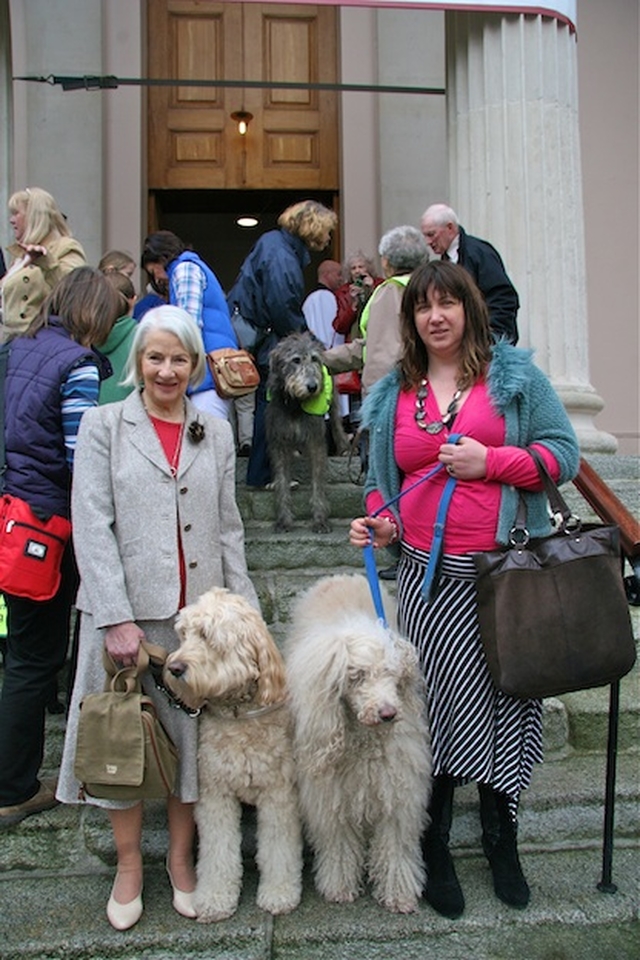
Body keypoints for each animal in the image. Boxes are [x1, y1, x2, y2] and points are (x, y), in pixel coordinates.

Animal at [165, 584, 304, 924]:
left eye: (207, 635)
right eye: (184, 634)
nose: (174, 667)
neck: (239, 713)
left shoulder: (279, 794)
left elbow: (279, 848)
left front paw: (279, 893)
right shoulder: (215, 794)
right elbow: (217, 851)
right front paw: (215, 898)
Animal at [286, 572, 432, 912]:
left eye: (392, 673)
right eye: (358, 676)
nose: (389, 713)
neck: (365, 739)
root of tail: (341, 575)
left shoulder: (396, 790)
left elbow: (395, 846)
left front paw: (399, 894)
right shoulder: (331, 795)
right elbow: (339, 843)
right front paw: (339, 887)